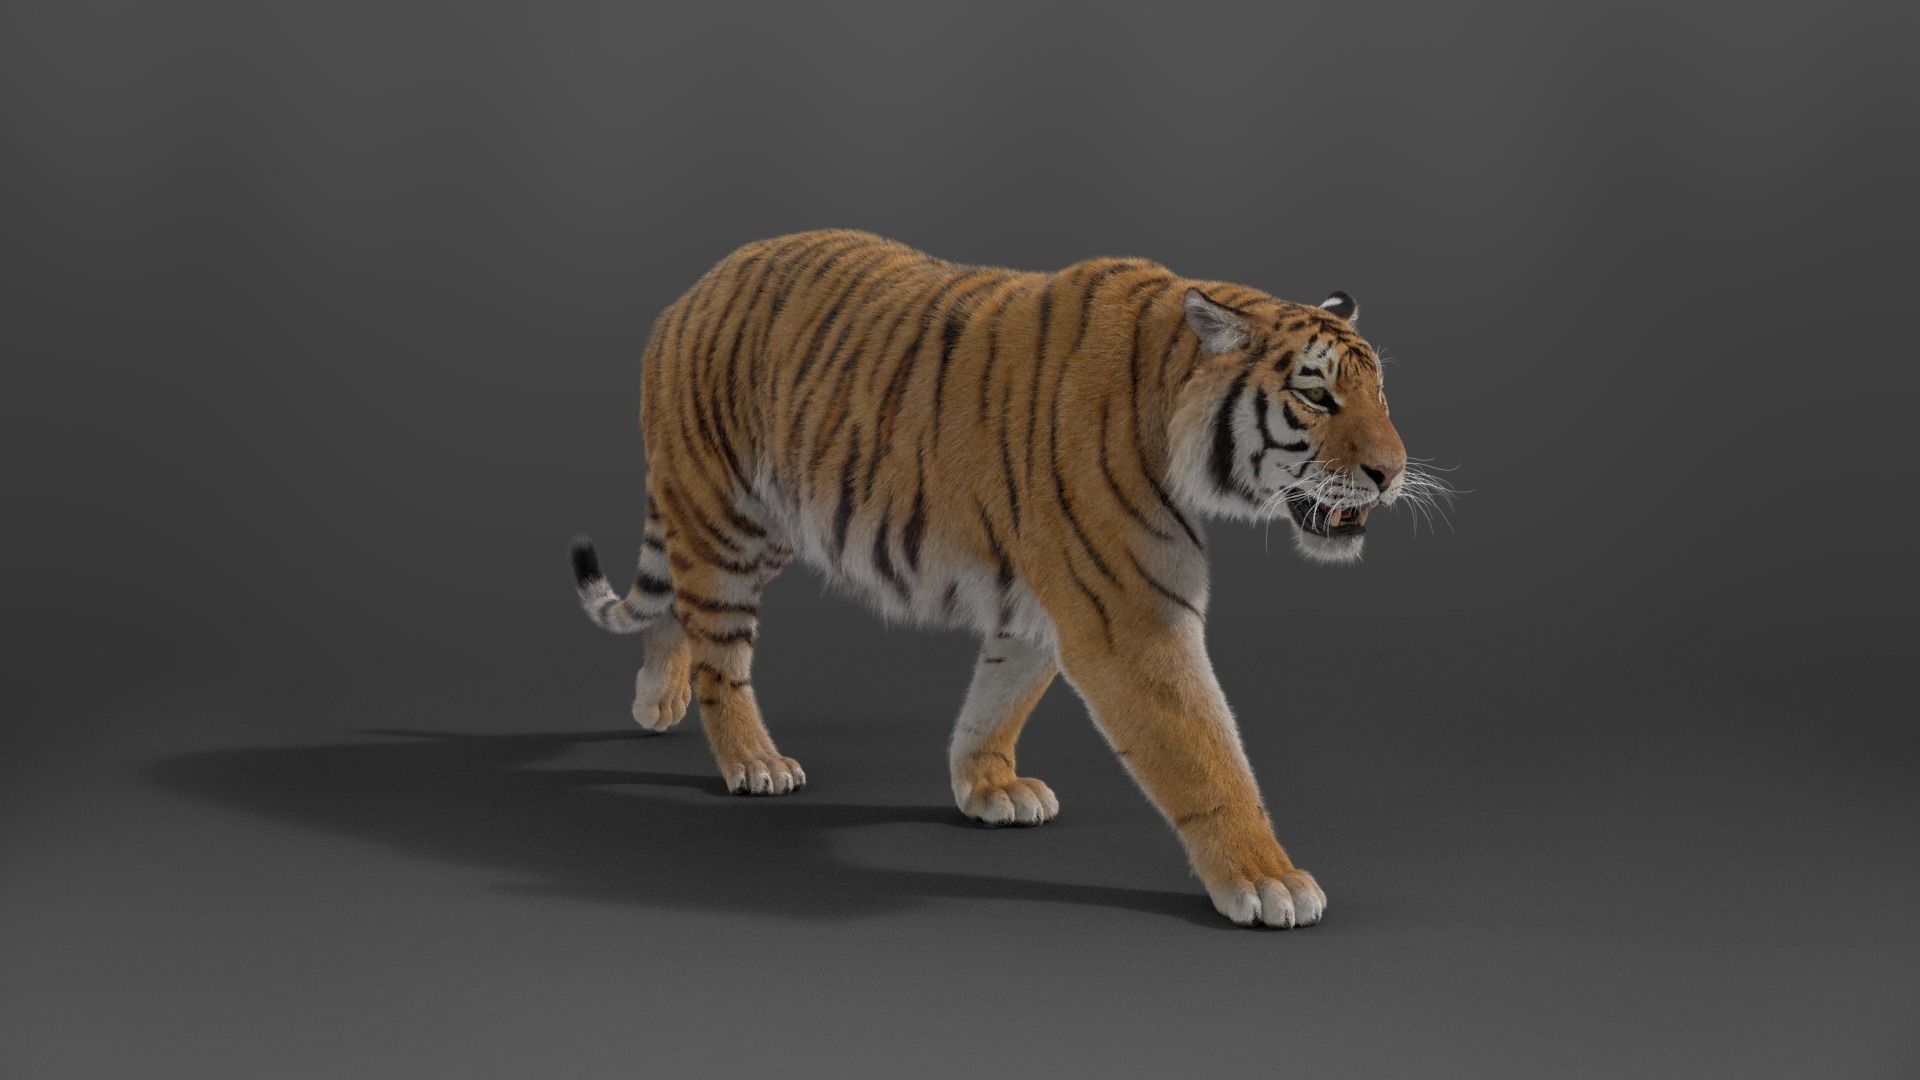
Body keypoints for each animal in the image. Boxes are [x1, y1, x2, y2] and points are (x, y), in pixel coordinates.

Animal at [568, 229, 1413, 928]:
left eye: (1380, 393)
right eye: (1315, 394)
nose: (1393, 472)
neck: (1166, 403)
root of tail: (691, 291)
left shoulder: (1042, 601)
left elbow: (997, 699)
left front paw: (988, 787)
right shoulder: (1130, 618)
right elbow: (1206, 756)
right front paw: (1268, 881)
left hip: (758, 523)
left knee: (678, 608)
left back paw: (656, 701)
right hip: (728, 517)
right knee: (721, 654)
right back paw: (753, 761)